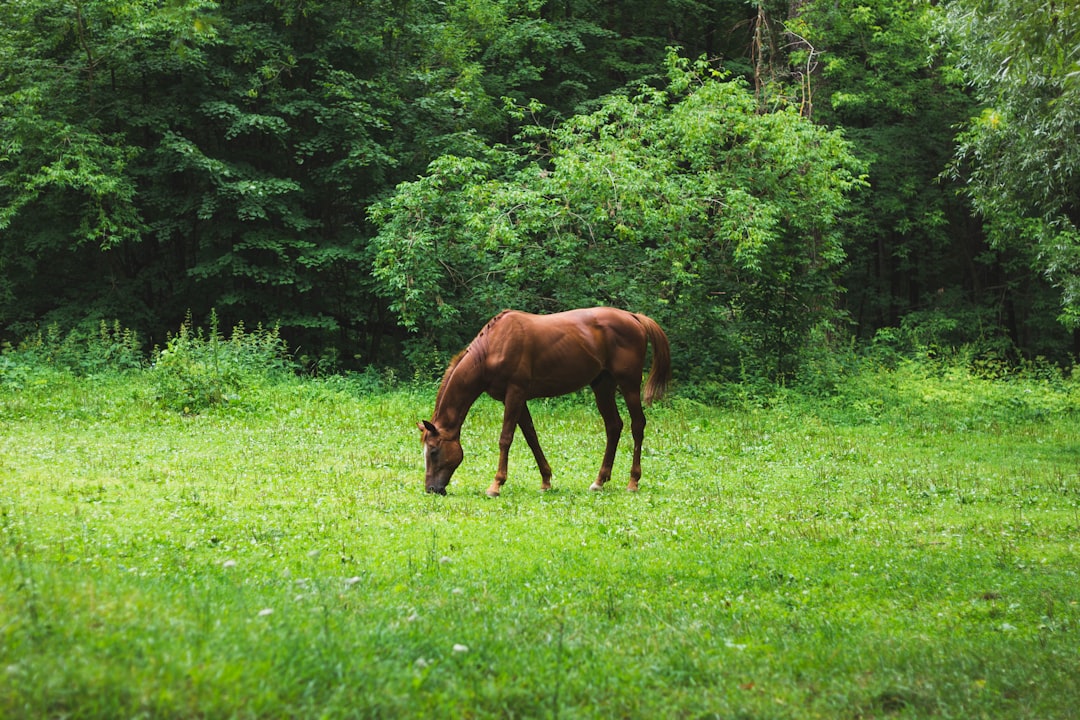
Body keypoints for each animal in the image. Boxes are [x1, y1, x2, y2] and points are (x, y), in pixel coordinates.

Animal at [416, 306, 669, 498]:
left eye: (434, 451)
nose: (431, 489)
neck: (492, 346)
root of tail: (634, 317)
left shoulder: (515, 393)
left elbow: (505, 439)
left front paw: (496, 485)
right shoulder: (517, 399)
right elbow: (531, 437)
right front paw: (546, 480)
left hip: (629, 385)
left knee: (637, 425)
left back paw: (633, 481)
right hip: (602, 385)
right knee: (614, 426)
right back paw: (599, 481)